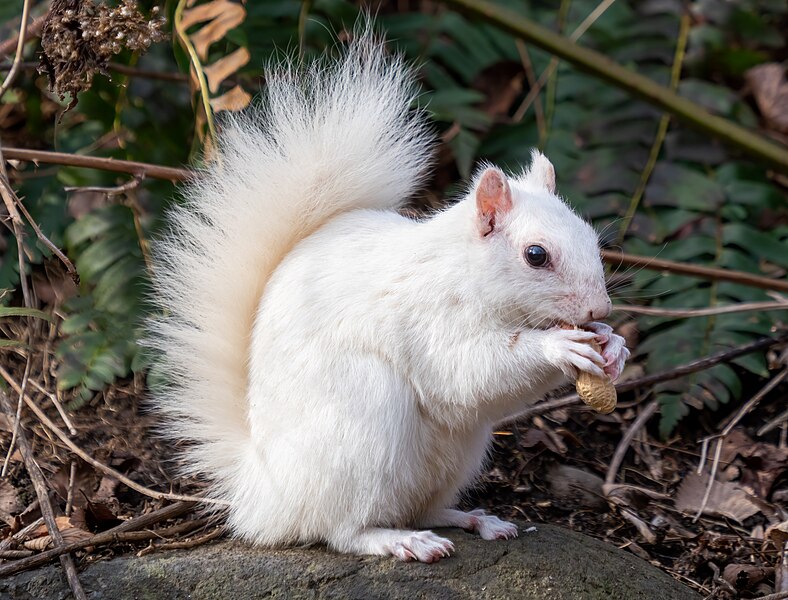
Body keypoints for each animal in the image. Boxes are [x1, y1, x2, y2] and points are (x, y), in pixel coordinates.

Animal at [148, 28, 628, 564]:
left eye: (591, 236)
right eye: (536, 255)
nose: (600, 309)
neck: (465, 273)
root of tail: (264, 493)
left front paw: (614, 346)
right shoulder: (428, 317)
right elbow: (465, 373)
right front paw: (559, 347)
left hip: (455, 455)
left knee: (421, 506)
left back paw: (473, 519)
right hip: (362, 421)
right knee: (340, 529)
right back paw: (398, 540)